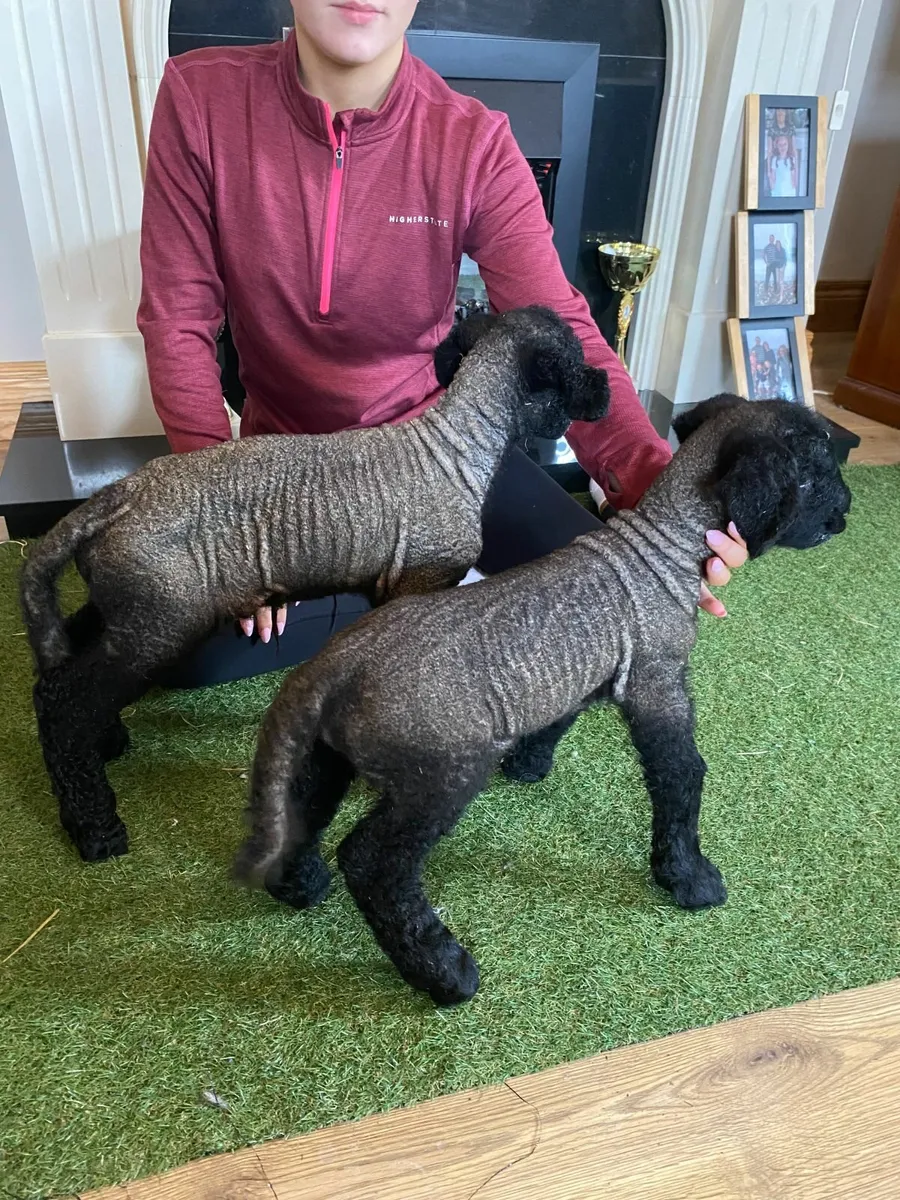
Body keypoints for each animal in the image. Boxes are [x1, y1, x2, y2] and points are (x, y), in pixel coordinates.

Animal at [19, 306, 609, 863]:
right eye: (575, 361)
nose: (605, 388)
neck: (456, 449)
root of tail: (112, 500)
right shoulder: (422, 582)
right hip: (159, 622)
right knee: (65, 702)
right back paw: (94, 827)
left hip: (123, 607)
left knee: (60, 668)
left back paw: (106, 741)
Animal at [234, 394, 851, 1005]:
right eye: (812, 474)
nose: (845, 515)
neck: (664, 547)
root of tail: (328, 670)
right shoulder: (659, 684)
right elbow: (682, 777)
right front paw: (689, 877)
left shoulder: (585, 675)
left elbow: (558, 719)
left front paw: (529, 764)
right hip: (439, 773)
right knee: (373, 863)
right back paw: (444, 972)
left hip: (327, 755)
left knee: (303, 813)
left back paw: (300, 886)